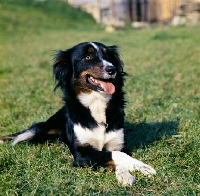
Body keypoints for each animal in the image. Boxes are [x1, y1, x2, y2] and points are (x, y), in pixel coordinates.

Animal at [0, 41, 156, 185]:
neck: (96, 102)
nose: (112, 69)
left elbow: (118, 154)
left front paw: (127, 175)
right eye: (88, 57)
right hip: (45, 127)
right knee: (28, 132)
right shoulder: (82, 153)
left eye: (107, 56)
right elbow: (114, 155)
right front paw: (144, 167)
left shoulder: (117, 143)